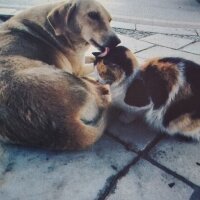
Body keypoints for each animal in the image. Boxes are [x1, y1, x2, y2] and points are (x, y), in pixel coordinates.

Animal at [0, 0, 119, 150]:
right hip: (68, 76)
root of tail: (65, 125)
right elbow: (93, 63)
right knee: (102, 97)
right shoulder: (78, 67)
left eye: (110, 20)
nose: (117, 42)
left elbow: (94, 58)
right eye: (93, 15)